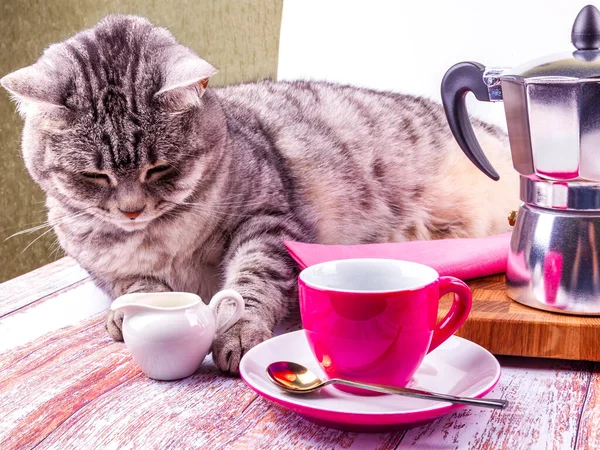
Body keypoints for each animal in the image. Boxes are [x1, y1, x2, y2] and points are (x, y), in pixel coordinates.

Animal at [1, 15, 516, 372]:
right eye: (94, 176)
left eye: (160, 167)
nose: (131, 210)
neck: (159, 237)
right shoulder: (110, 270)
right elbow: (138, 290)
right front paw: (129, 315)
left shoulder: (269, 222)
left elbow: (250, 280)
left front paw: (237, 331)